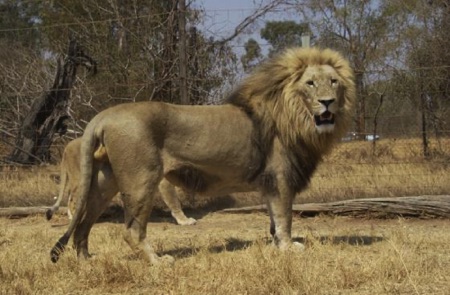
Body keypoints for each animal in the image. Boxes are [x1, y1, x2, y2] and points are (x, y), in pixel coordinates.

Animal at [45, 138, 197, 225]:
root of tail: (67, 147)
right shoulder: (164, 180)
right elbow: (174, 200)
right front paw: (184, 220)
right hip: (81, 177)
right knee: (73, 198)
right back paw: (75, 218)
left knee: (71, 195)